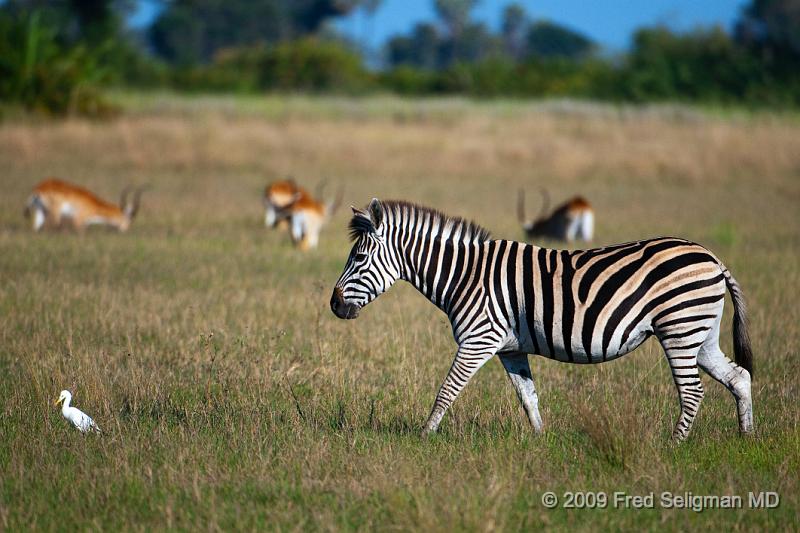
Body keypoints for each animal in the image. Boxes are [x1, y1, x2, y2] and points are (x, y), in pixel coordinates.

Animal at [328, 200, 752, 440]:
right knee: (739, 377)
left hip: (680, 329)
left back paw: (673, 446)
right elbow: (527, 396)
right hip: (701, 333)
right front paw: (540, 442)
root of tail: (712, 257)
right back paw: (747, 439)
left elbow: (446, 390)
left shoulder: (477, 340)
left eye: (359, 258)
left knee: (693, 392)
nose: (333, 305)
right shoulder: (509, 349)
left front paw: (423, 437)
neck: (464, 275)